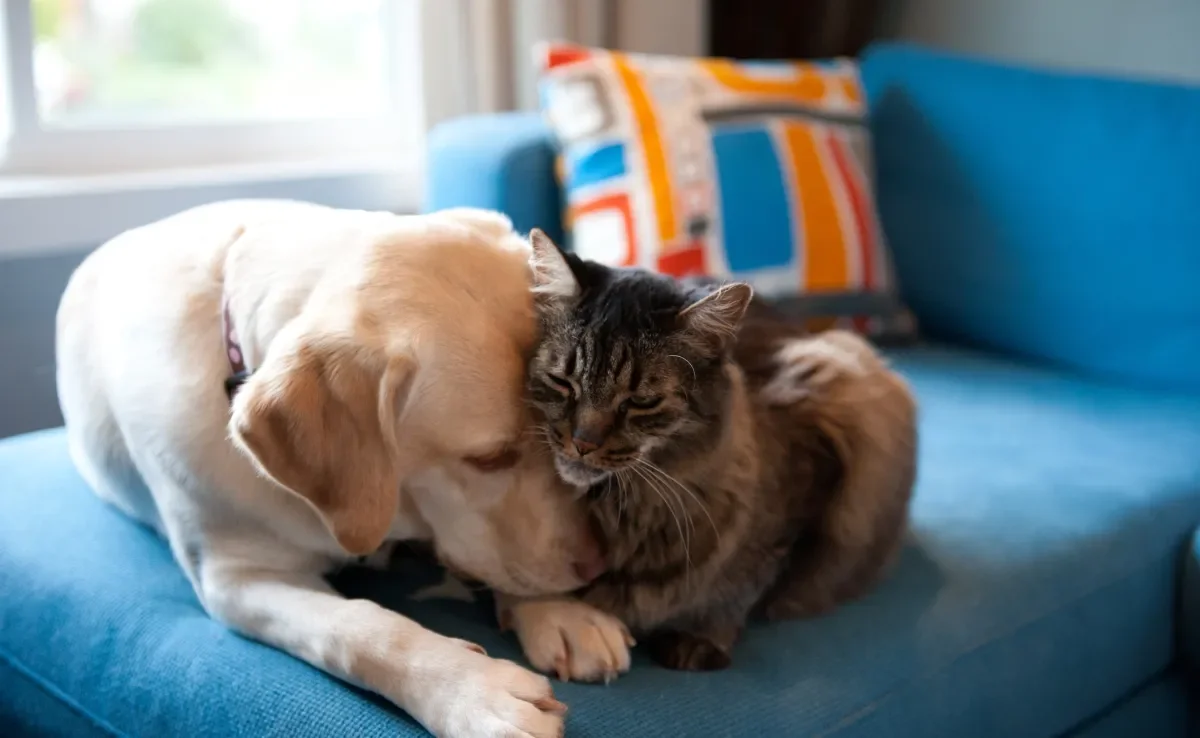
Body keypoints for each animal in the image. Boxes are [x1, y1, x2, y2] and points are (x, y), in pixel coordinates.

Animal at [54, 199, 600, 738]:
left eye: (556, 434)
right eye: (488, 458)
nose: (595, 568)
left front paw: (560, 614)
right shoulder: (235, 581)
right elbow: (357, 628)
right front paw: (473, 691)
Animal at [496, 230, 916, 681]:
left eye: (641, 401)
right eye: (562, 382)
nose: (583, 442)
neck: (625, 512)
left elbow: (745, 583)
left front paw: (702, 636)